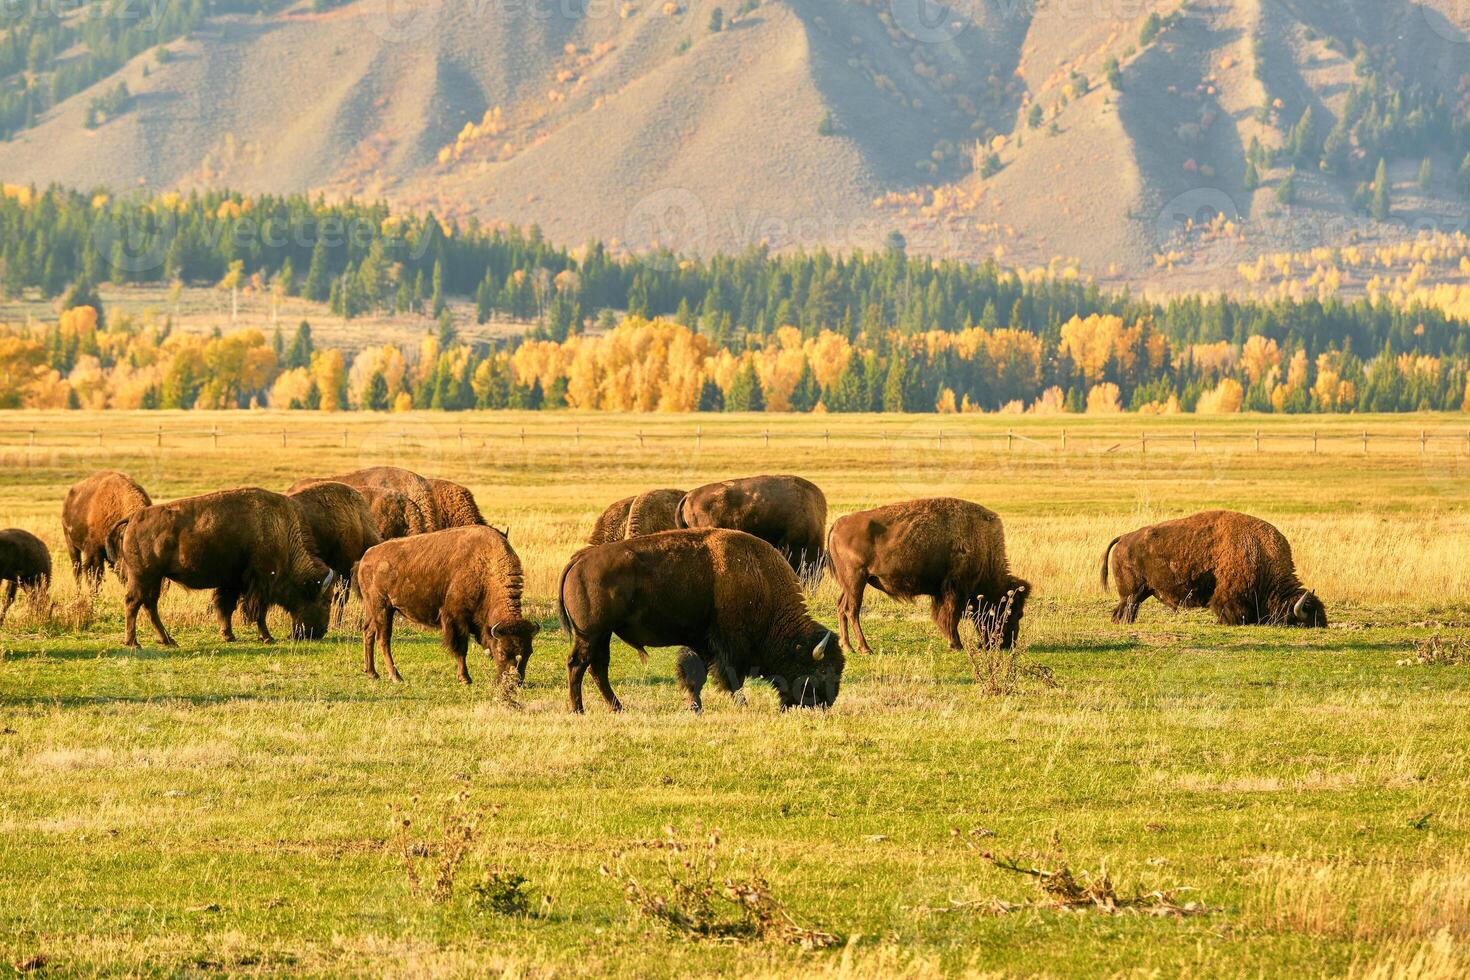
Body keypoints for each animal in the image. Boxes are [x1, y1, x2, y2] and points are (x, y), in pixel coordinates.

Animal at [109, 487, 338, 646]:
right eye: (325, 601)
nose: (320, 633)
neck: (280, 529)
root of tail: (133, 518)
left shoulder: (232, 582)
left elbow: (226, 607)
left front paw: (228, 635)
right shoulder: (261, 583)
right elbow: (257, 612)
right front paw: (267, 637)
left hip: (155, 579)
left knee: (149, 605)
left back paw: (167, 640)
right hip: (143, 576)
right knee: (133, 603)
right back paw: (133, 643)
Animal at [352, 528, 538, 681]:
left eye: (529, 652)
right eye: (502, 652)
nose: (515, 681)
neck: (486, 567)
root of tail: (365, 558)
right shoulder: (456, 618)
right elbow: (461, 648)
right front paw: (465, 678)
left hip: (374, 610)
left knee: (368, 633)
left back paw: (372, 673)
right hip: (383, 608)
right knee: (383, 639)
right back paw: (395, 676)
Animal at [555, 528, 846, 714]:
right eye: (822, 670)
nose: (826, 703)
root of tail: (579, 559)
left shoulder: (701, 642)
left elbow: (695, 675)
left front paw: (694, 706)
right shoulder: (729, 645)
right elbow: (730, 677)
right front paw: (742, 705)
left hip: (602, 635)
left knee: (598, 668)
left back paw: (617, 708)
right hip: (591, 634)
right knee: (578, 665)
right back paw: (578, 709)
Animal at [829, 502, 1034, 655]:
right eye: (1015, 613)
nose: (1007, 644)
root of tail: (838, 524)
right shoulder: (955, 590)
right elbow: (951, 616)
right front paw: (956, 644)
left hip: (849, 584)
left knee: (841, 607)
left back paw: (847, 646)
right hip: (856, 580)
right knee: (852, 610)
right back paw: (865, 648)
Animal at [1105, 511, 1334, 625]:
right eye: (1306, 621)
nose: (1323, 625)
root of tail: (1123, 538)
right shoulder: (1230, 595)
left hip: (1141, 592)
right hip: (1132, 594)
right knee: (1124, 609)